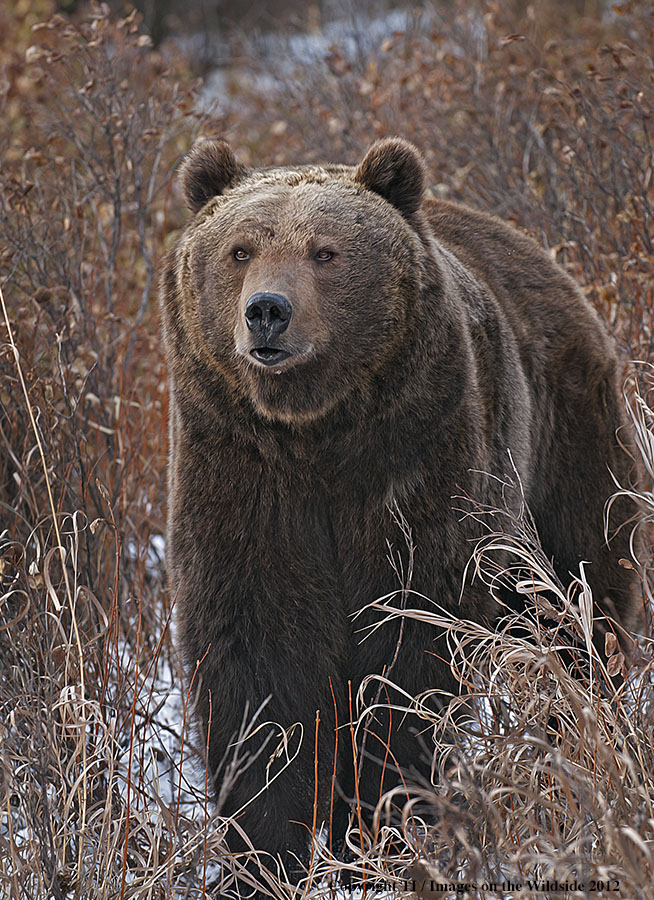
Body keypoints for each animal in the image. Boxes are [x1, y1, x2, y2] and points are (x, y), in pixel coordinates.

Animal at [160, 137, 639, 890]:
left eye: (325, 251)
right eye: (241, 249)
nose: (267, 310)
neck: (316, 436)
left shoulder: (415, 462)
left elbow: (409, 651)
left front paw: (383, 824)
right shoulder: (242, 480)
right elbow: (258, 671)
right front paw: (266, 857)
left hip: (561, 449)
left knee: (582, 613)